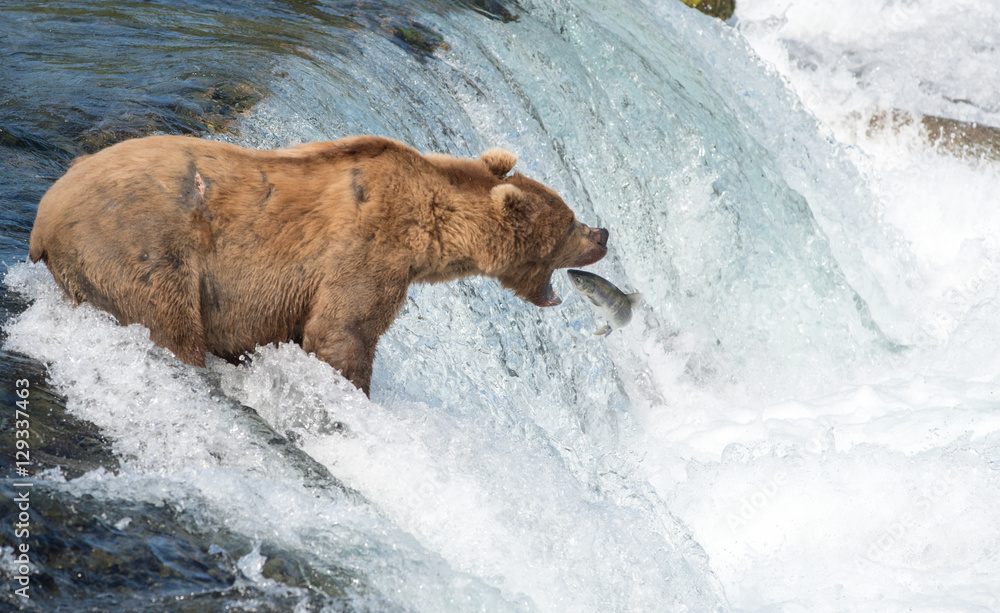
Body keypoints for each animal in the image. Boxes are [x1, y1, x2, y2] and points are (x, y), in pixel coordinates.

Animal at [28, 135, 609, 395]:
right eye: (569, 223)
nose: (602, 234)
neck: (432, 228)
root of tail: (46, 212)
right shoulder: (366, 252)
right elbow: (343, 332)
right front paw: (354, 391)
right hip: (143, 249)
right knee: (169, 324)